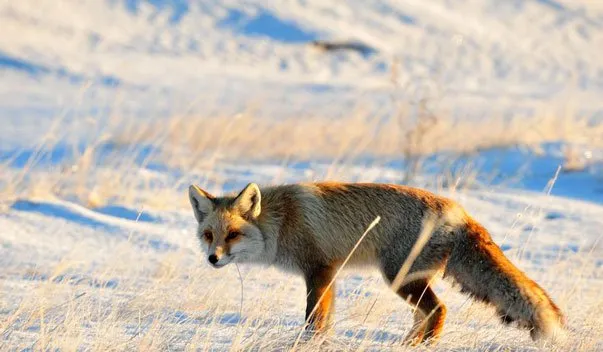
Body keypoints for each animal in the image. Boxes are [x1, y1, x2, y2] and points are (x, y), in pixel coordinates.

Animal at [189, 183, 568, 346]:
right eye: (209, 235)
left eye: (233, 235)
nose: (212, 258)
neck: (281, 221)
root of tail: (460, 211)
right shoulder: (330, 274)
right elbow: (325, 320)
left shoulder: (318, 270)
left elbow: (313, 319)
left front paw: (307, 343)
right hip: (407, 280)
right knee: (425, 315)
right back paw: (406, 344)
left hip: (399, 278)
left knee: (439, 310)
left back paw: (420, 346)